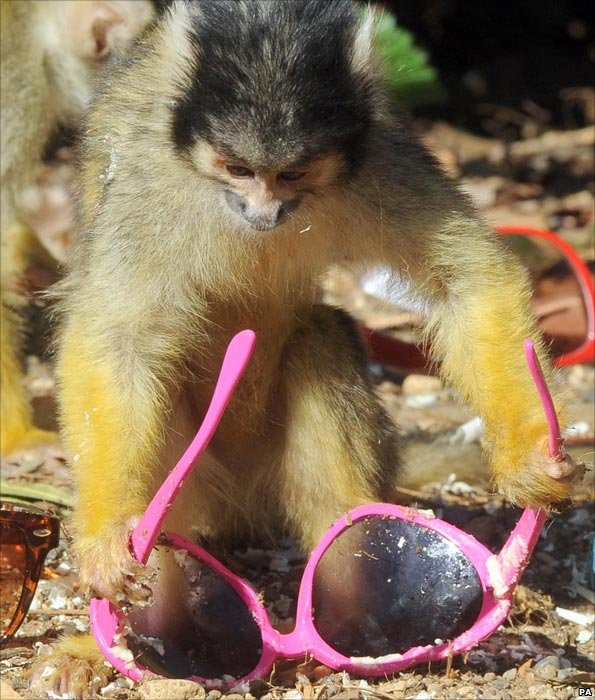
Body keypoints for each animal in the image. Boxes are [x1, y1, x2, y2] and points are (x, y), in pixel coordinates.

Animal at [35, 0, 580, 693]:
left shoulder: (378, 152)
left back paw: (350, 615)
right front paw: (107, 537)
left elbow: (468, 280)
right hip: (207, 479)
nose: (262, 214)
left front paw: (528, 459)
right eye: (237, 168)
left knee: (319, 341)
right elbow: (118, 337)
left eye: (291, 173)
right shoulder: (147, 173)